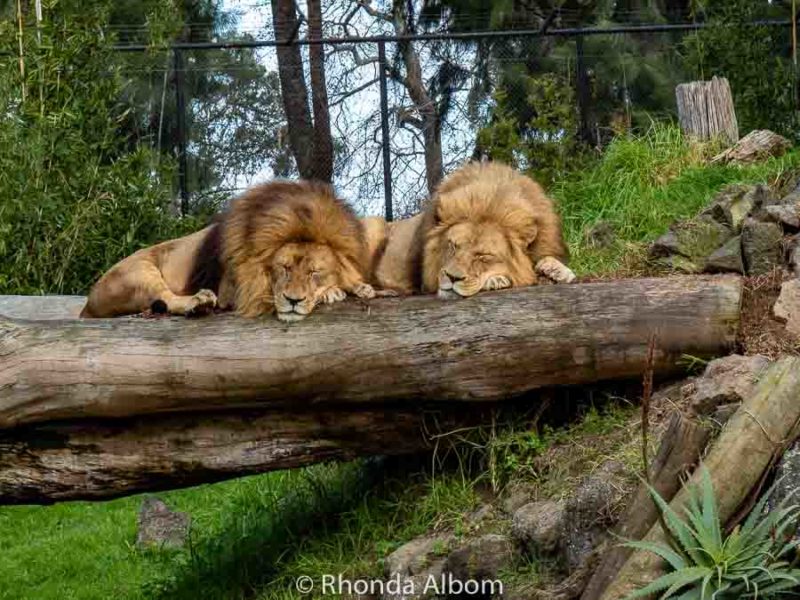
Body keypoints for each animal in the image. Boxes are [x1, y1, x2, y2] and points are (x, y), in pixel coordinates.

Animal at [81, 179, 378, 322]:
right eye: (283, 268)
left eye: (314, 272)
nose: (293, 301)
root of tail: (87, 305)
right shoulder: (232, 289)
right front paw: (333, 291)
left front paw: (358, 286)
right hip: (139, 271)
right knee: (167, 298)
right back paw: (198, 302)